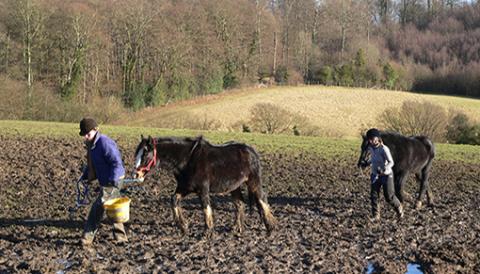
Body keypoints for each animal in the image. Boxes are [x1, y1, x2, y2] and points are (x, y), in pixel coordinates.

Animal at [132, 135, 278, 235]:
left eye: (145, 155)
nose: (135, 175)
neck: (188, 160)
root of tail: (252, 151)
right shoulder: (184, 188)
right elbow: (174, 200)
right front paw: (183, 226)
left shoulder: (202, 190)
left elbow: (205, 208)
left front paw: (207, 232)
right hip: (234, 186)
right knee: (240, 204)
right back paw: (237, 228)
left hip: (254, 182)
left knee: (262, 199)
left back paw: (270, 227)